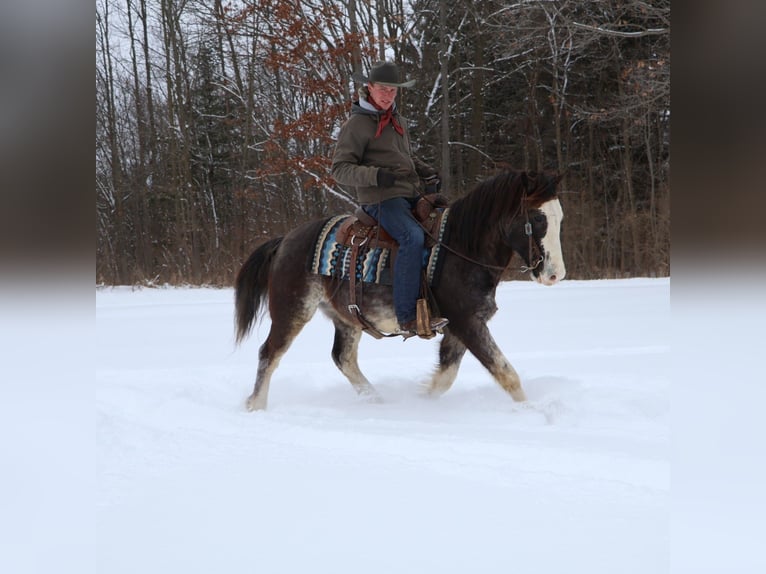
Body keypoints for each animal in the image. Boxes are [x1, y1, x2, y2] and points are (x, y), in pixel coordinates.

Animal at [234, 169, 565, 411]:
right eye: (538, 218)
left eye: (559, 217)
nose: (556, 274)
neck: (461, 247)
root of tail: (284, 240)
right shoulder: (467, 323)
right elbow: (506, 372)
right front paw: (532, 412)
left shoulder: (461, 326)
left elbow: (446, 376)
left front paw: (420, 400)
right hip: (292, 309)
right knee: (269, 353)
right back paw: (256, 405)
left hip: (346, 318)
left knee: (343, 358)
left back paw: (376, 400)